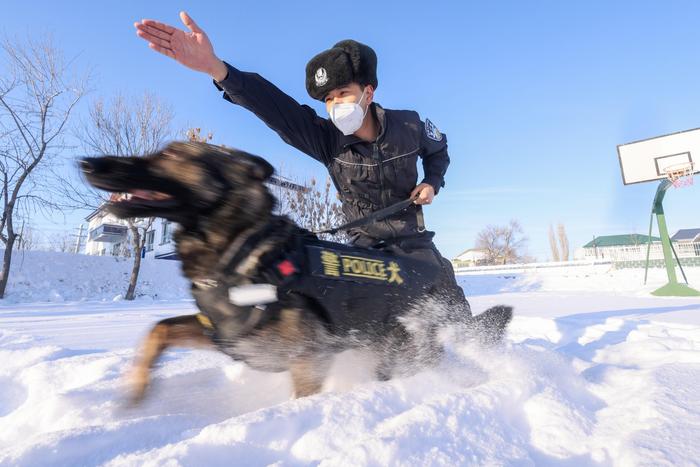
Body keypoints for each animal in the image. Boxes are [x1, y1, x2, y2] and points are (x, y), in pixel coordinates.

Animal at [80, 143, 516, 402]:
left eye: (170, 156)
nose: (88, 162)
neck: (241, 246)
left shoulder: (310, 361)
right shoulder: (225, 334)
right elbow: (158, 328)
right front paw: (136, 390)